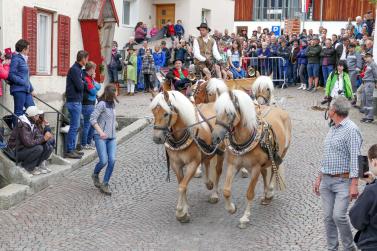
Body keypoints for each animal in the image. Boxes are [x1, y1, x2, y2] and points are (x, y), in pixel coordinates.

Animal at [149, 89, 223, 223]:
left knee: (218, 170)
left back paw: (214, 193)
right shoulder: (176, 164)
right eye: (153, 112)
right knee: (206, 162)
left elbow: (182, 186)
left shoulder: (192, 163)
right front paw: (185, 209)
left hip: (222, 150)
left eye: (166, 114)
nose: (157, 138)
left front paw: (180, 212)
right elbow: (182, 184)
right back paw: (208, 183)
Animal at [212, 89, 290, 228]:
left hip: (280, 154)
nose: (215, 137)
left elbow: (249, 193)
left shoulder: (255, 168)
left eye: (230, 113)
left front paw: (245, 217)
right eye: (216, 111)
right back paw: (266, 194)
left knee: (274, 170)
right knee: (265, 173)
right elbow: (226, 191)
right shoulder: (233, 165)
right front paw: (231, 208)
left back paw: (269, 192)